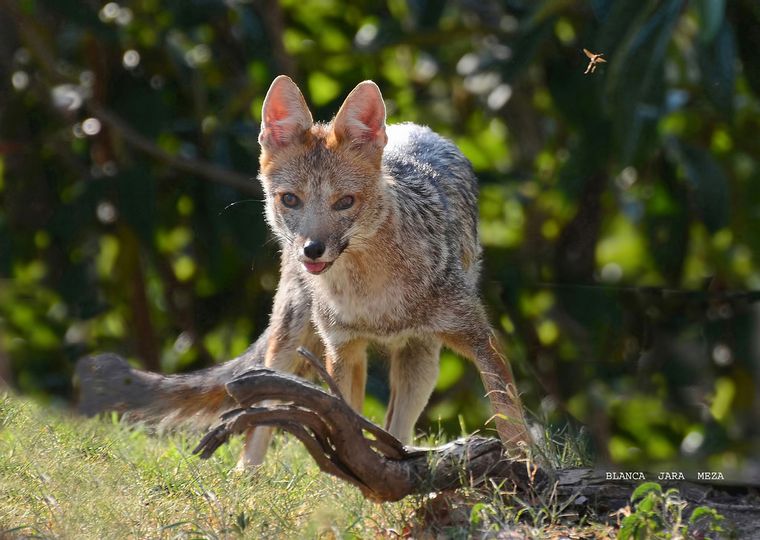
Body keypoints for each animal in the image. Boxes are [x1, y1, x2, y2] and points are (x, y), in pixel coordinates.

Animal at [76, 76, 530, 468]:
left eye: (345, 202)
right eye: (290, 199)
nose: (312, 249)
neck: (374, 298)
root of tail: (413, 128)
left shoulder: (479, 338)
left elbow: (511, 420)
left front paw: (529, 474)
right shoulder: (341, 348)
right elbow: (345, 428)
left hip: (420, 363)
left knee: (397, 428)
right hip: (290, 341)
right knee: (261, 417)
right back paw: (247, 477)